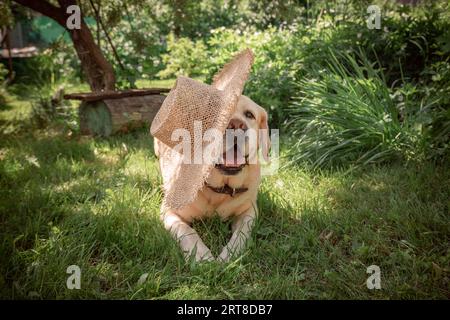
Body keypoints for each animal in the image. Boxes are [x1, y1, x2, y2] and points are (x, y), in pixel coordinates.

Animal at [155, 95, 268, 262]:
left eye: (249, 115)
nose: (236, 125)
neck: (220, 188)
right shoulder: (169, 212)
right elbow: (187, 231)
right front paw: (201, 256)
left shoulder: (249, 211)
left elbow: (241, 233)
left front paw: (230, 255)